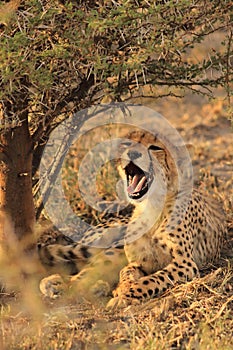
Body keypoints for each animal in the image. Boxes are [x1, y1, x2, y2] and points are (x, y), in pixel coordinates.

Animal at [39, 131, 227, 306]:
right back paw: (57, 283)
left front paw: (125, 294)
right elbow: (127, 272)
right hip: (106, 246)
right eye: (126, 144)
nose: (133, 154)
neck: (151, 205)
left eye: (155, 148)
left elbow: (152, 279)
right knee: (81, 269)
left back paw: (92, 287)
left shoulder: (185, 264)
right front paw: (124, 288)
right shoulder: (138, 261)